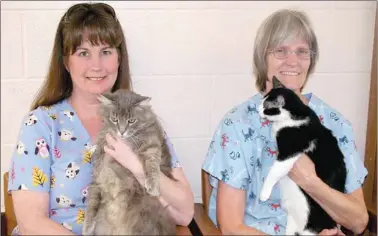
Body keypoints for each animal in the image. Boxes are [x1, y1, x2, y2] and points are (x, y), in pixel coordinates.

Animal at [82, 89, 176, 235]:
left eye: (131, 121)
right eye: (114, 119)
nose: (121, 132)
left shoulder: (151, 145)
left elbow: (152, 166)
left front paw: (153, 186)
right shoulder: (100, 160)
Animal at [258, 76, 346, 235]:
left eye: (266, 107)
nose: (257, 110)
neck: (295, 116)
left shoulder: (290, 151)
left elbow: (275, 170)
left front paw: (264, 193)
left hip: (310, 226)